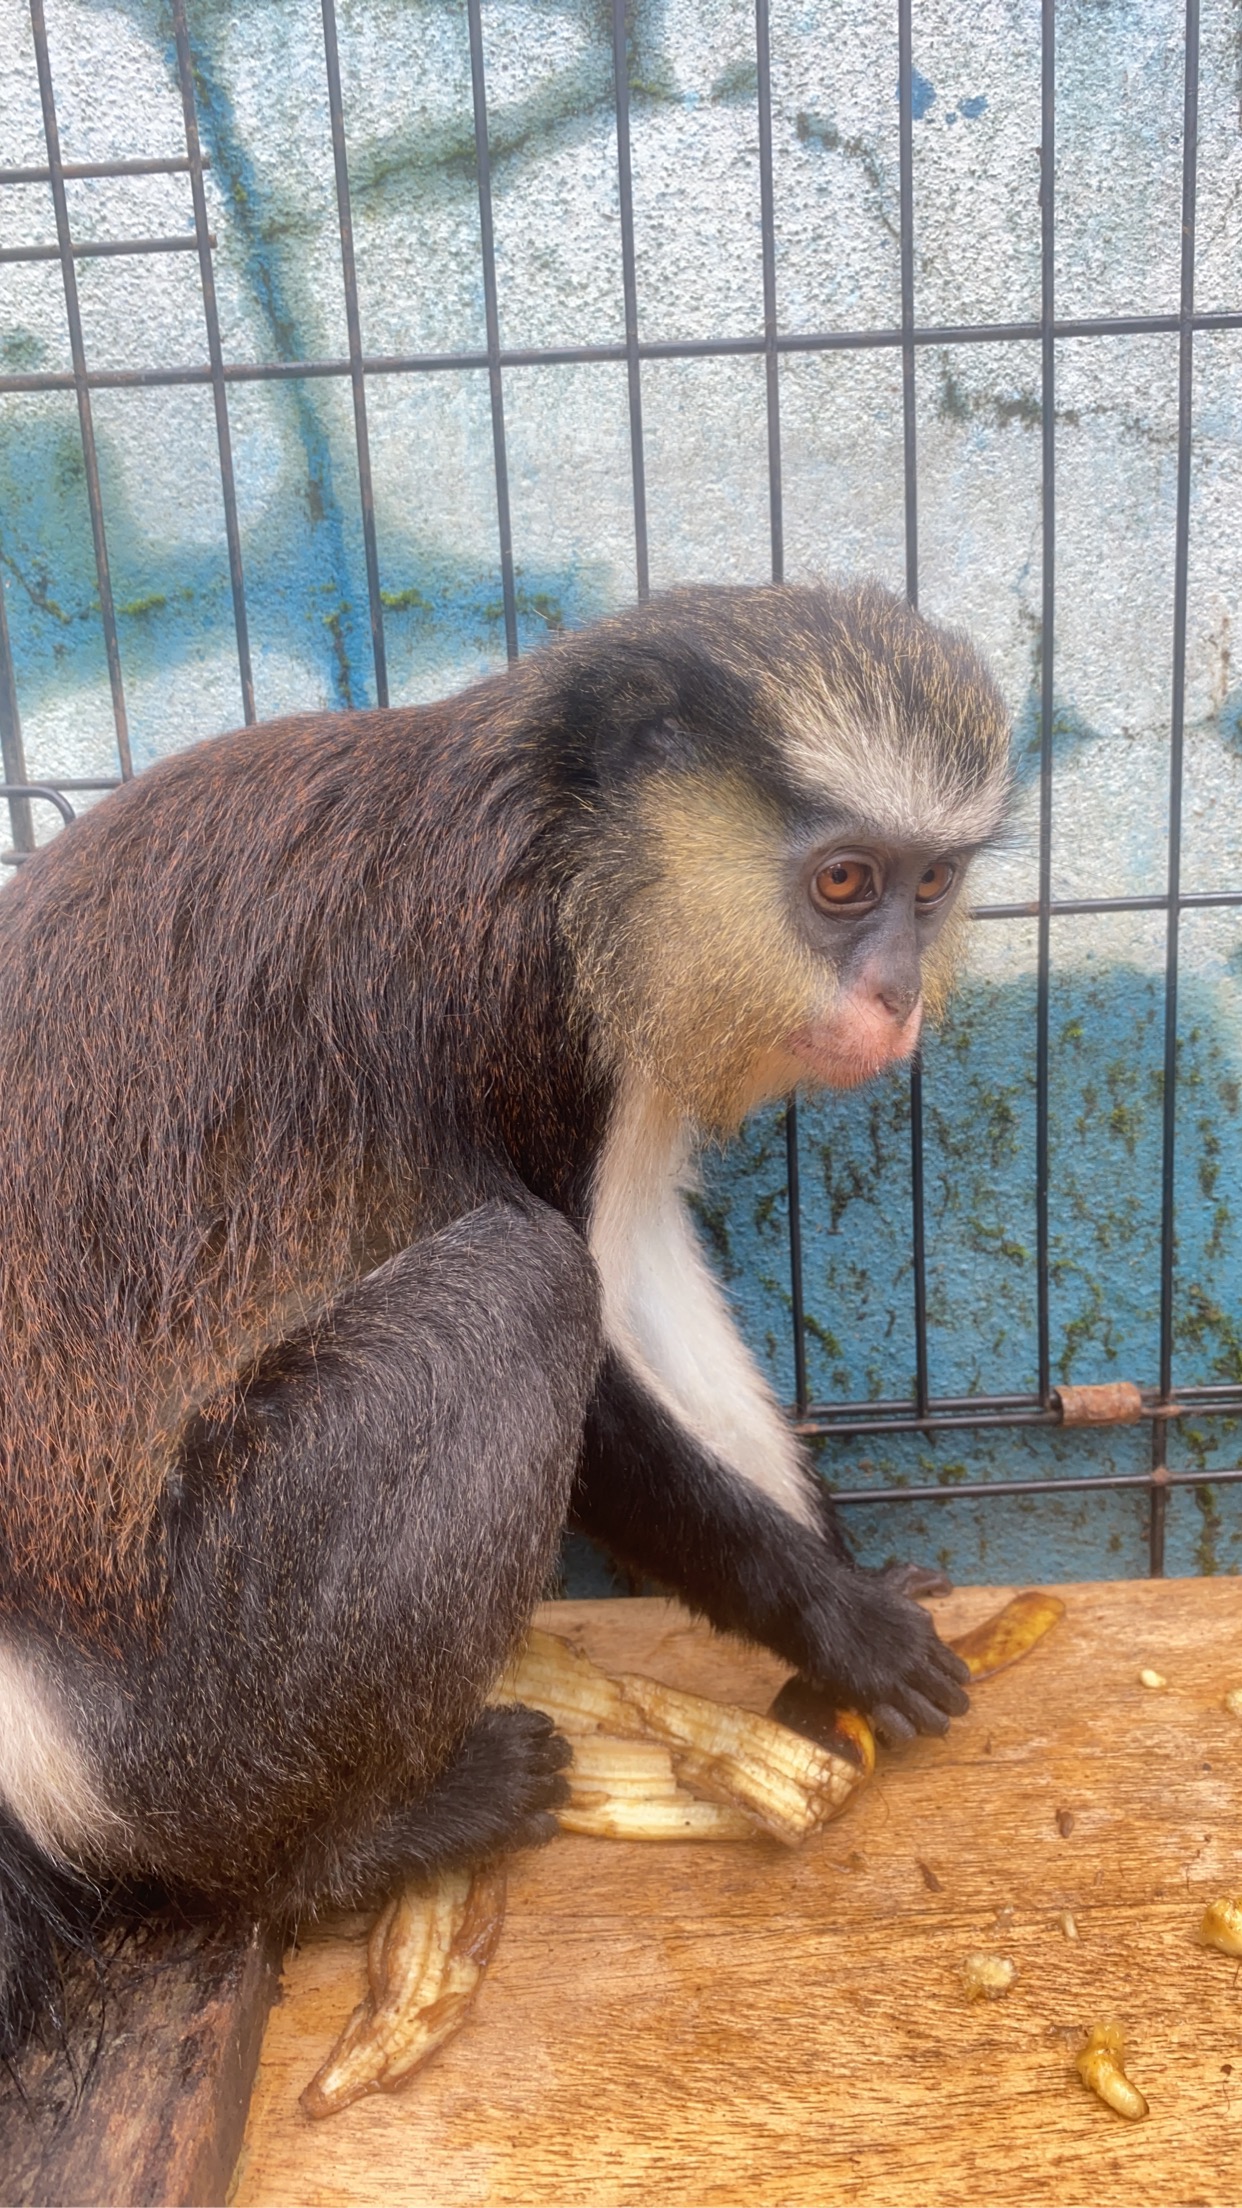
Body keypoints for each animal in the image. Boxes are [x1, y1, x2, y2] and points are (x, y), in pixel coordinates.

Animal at [0, 580, 1010, 2055]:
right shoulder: (504, 993)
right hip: (180, 1701)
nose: (897, 996)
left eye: (928, 884)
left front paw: (845, 1597)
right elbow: (587, 1334)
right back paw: (350, 1852)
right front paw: (838, 1625)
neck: (560, 814)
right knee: (522, 1289)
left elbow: (639, 1266)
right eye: (842, 883)